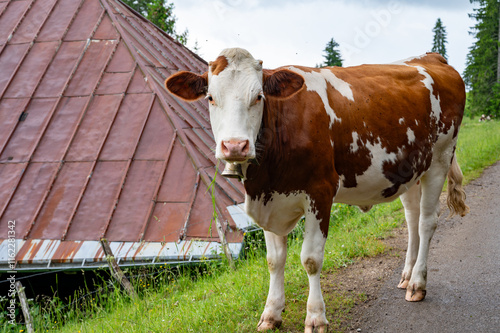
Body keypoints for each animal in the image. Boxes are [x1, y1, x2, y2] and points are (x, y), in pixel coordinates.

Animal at [165, 48, 468, 330]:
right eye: (210, 98)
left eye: (259, 97)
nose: (235, 146)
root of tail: (431, 57)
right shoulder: (268, 198)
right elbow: (274, 260)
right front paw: (271, 313)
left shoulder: (320, 193)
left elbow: (310, 259)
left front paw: (315, 317)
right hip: (412, 169)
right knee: (412, 219)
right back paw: (406, 277)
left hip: (440, 159)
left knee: (427, 222)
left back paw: (417, 284)